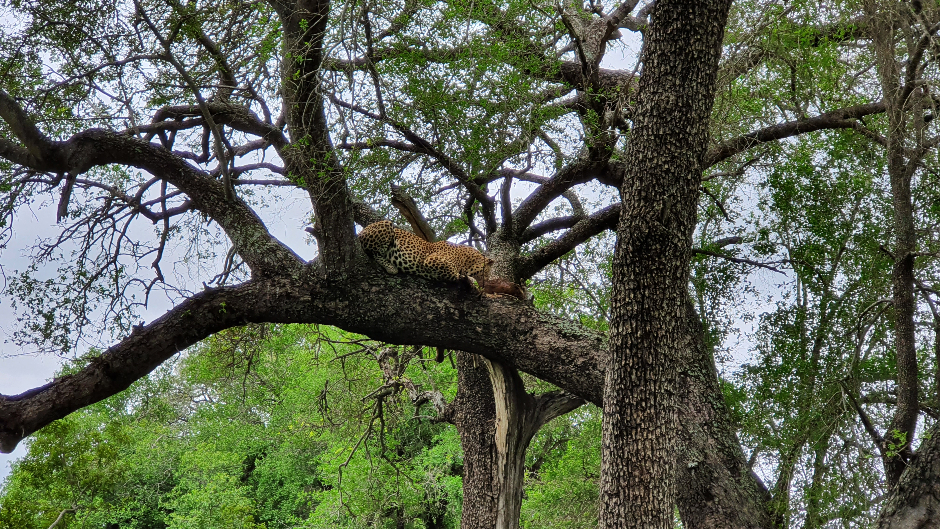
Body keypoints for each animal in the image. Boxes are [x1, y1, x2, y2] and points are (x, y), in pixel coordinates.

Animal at [358, 220, 492, 288]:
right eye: (487, 272)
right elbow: (453, 270)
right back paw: (391, 267)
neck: (467, 260)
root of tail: (361, 232)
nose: (486, 283)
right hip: (385, 224)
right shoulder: (432, 259)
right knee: (373, 252)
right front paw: (470, 279)